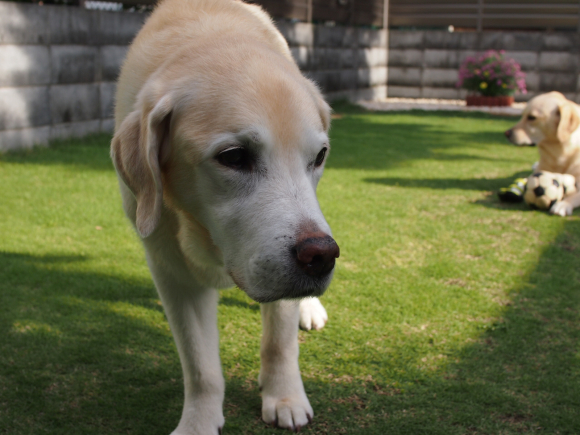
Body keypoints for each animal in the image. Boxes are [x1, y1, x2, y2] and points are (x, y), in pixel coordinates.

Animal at [109, 1, 340, 434]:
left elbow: (278, 343)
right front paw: (198, 421)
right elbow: (200, 366)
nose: (321, 256)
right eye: (234, 157)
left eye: (318, 156)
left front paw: (285, 398)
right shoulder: (171, 270)